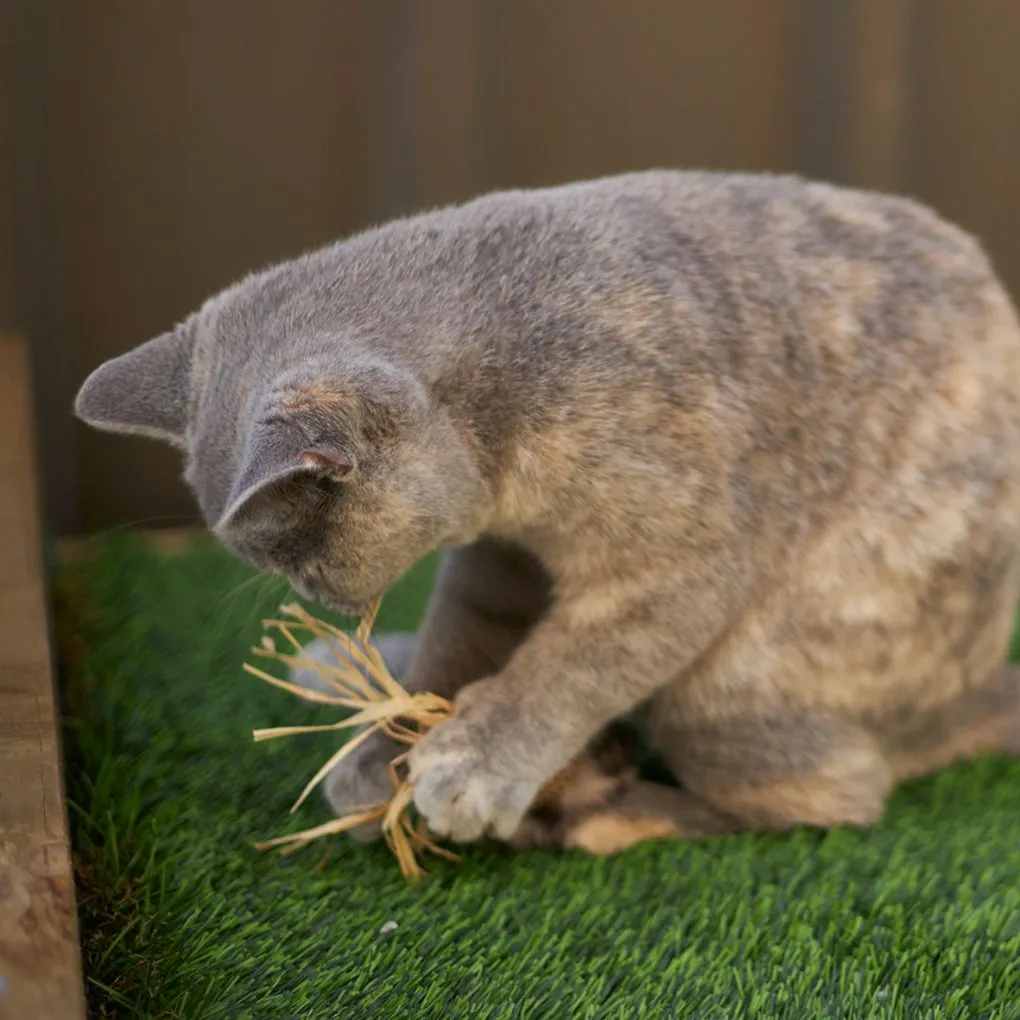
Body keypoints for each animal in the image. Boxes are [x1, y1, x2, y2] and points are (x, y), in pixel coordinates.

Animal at [75, 171, 1020, 856]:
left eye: (296, 559)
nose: (321, 600)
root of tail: (975, 693)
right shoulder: (497, 557)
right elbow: (463, 634)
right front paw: (386, 747)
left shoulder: (678, 559)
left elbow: (572, 663)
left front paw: (473, 764)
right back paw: (355, 666)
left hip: (743, 672)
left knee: (836, 791)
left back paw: (616, 816)